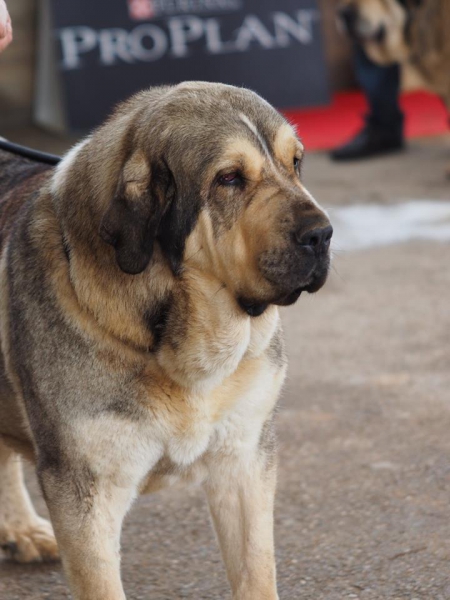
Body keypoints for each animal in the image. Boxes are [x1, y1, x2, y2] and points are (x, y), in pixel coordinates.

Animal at [0, 82, 330, 596]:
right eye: (229, 178)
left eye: (295, 162)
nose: (322, 235)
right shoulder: (84, 490)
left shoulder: (244, 460)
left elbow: (256, 570)